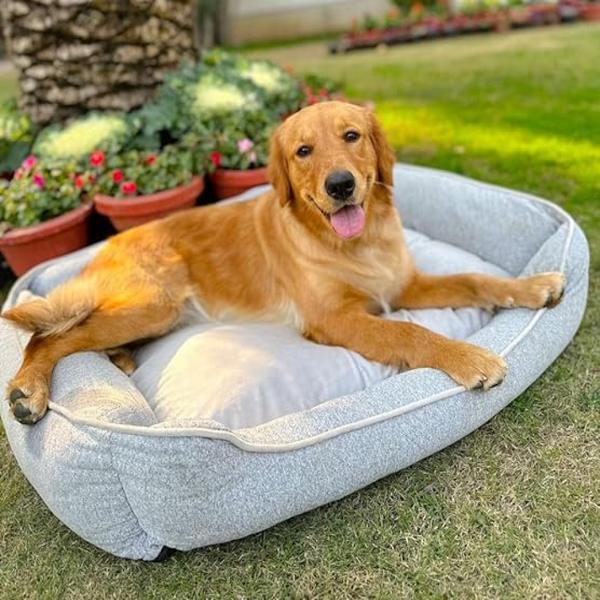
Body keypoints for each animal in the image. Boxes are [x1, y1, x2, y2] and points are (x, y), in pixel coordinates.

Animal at [2, 101, 564, 424]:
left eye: (352, 136)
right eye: (303, 151)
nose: (340, 186)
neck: (357, 244)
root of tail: (107, 247)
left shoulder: (402, 286)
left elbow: (474, 278)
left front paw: (533, 285)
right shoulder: (334, 319)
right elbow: (411, 333)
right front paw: (469, 358)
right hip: (156, 303)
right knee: (49, 337)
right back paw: (28, 391)